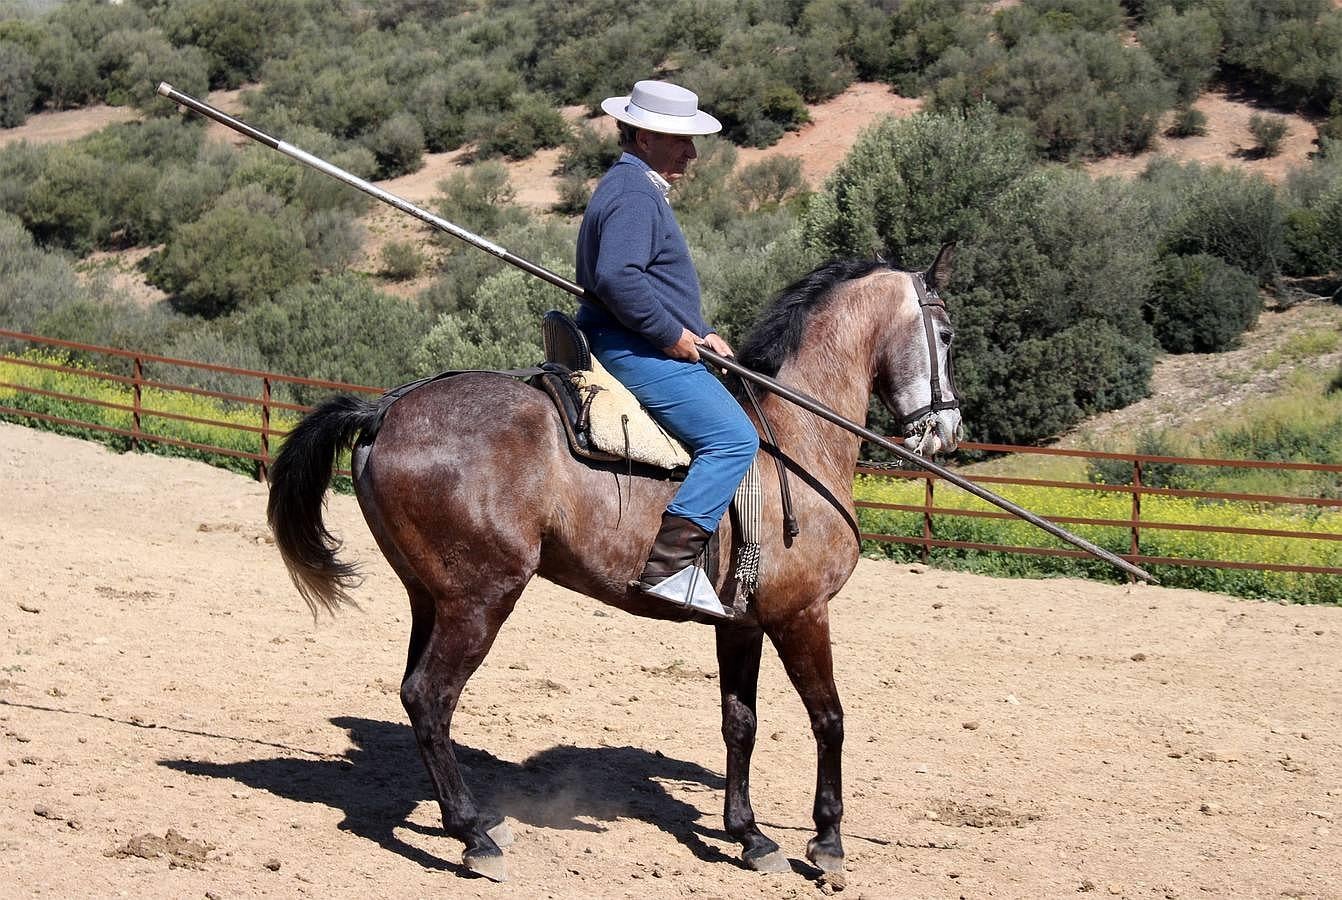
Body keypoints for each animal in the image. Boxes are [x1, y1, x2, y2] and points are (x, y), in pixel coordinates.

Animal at [267, 249, 960, 885]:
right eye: (948, 335)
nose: (948, 431)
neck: (794, 441)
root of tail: (386, 410)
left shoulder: (741, 624)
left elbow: (740, 724)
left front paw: (750, 835)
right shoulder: (801, 615)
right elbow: (830, 719)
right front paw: (827, 843)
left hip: (431, 599)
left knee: (417, 699)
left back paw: (476, 821)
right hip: (480, 601)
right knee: (430, 697)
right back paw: (473, 837)